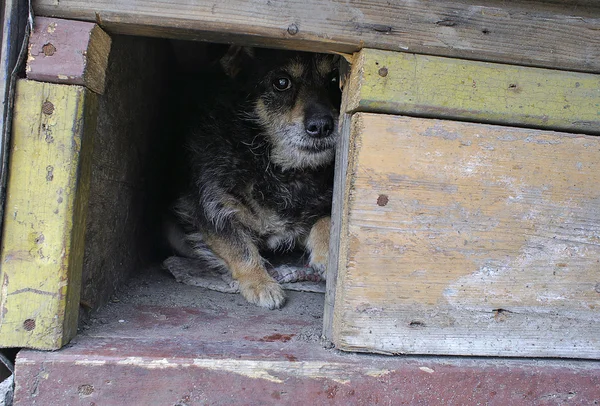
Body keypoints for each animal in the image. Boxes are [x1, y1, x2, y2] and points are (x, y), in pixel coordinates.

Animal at [166, 47, 342, 308]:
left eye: (334, 79)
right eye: (281, 82)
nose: (321, 126)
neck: (281, 169)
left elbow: (325, 218)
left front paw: (327, 255)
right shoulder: (211, 211)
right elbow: (240, 248)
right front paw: (260, 283)